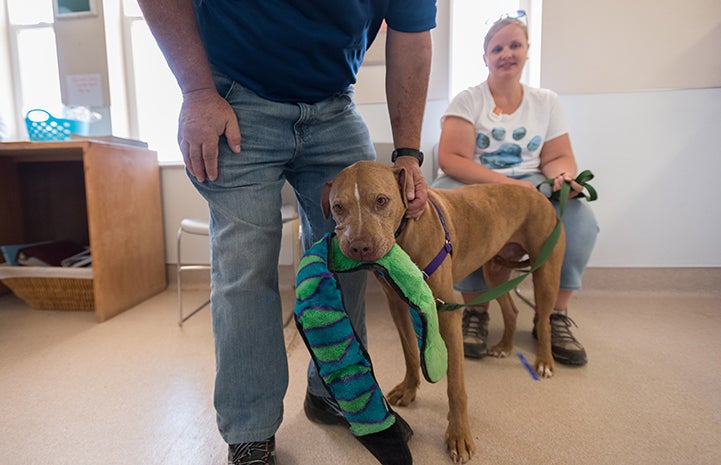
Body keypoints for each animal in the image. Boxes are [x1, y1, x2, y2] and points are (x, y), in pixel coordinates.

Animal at [324, 160, 564, 460]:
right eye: (338, 207)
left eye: (381, 200)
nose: (359, 247)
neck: (406, 234)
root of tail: (539, 195)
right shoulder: (397, 306)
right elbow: (410, 353)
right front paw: (409, 389)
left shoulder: (447, 313)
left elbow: (455, 385)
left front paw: (458, 435)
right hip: (495, 271)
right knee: (511, 310)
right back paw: (505, 346)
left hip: (546, 273)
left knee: (542, 319)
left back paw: (544, 361)